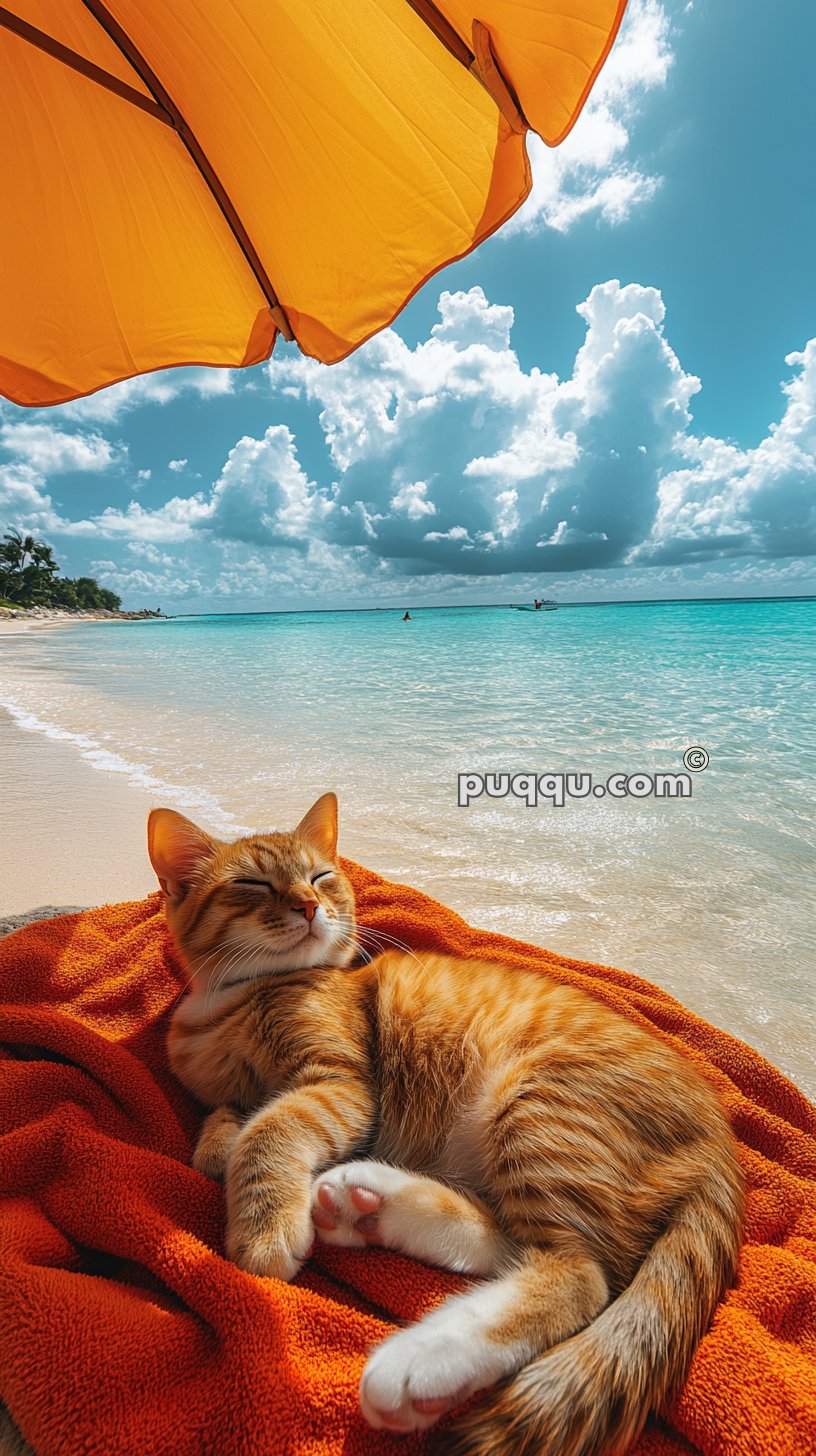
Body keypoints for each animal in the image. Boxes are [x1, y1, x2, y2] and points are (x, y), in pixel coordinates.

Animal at [150, 797, 743, 1456]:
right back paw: (373, 1205)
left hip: (540, 1110)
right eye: (253, 884)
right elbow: (225, 1124)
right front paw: (220, 1142)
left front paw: (264, 1224)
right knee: (521, 1242)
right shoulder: (230, 1090)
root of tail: (719, 1133)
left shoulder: (343, 1084)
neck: (226, 1007)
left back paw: (422, 1360)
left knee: (582, 1272)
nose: (308, 906)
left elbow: (270, 1129)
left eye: (320, 876)